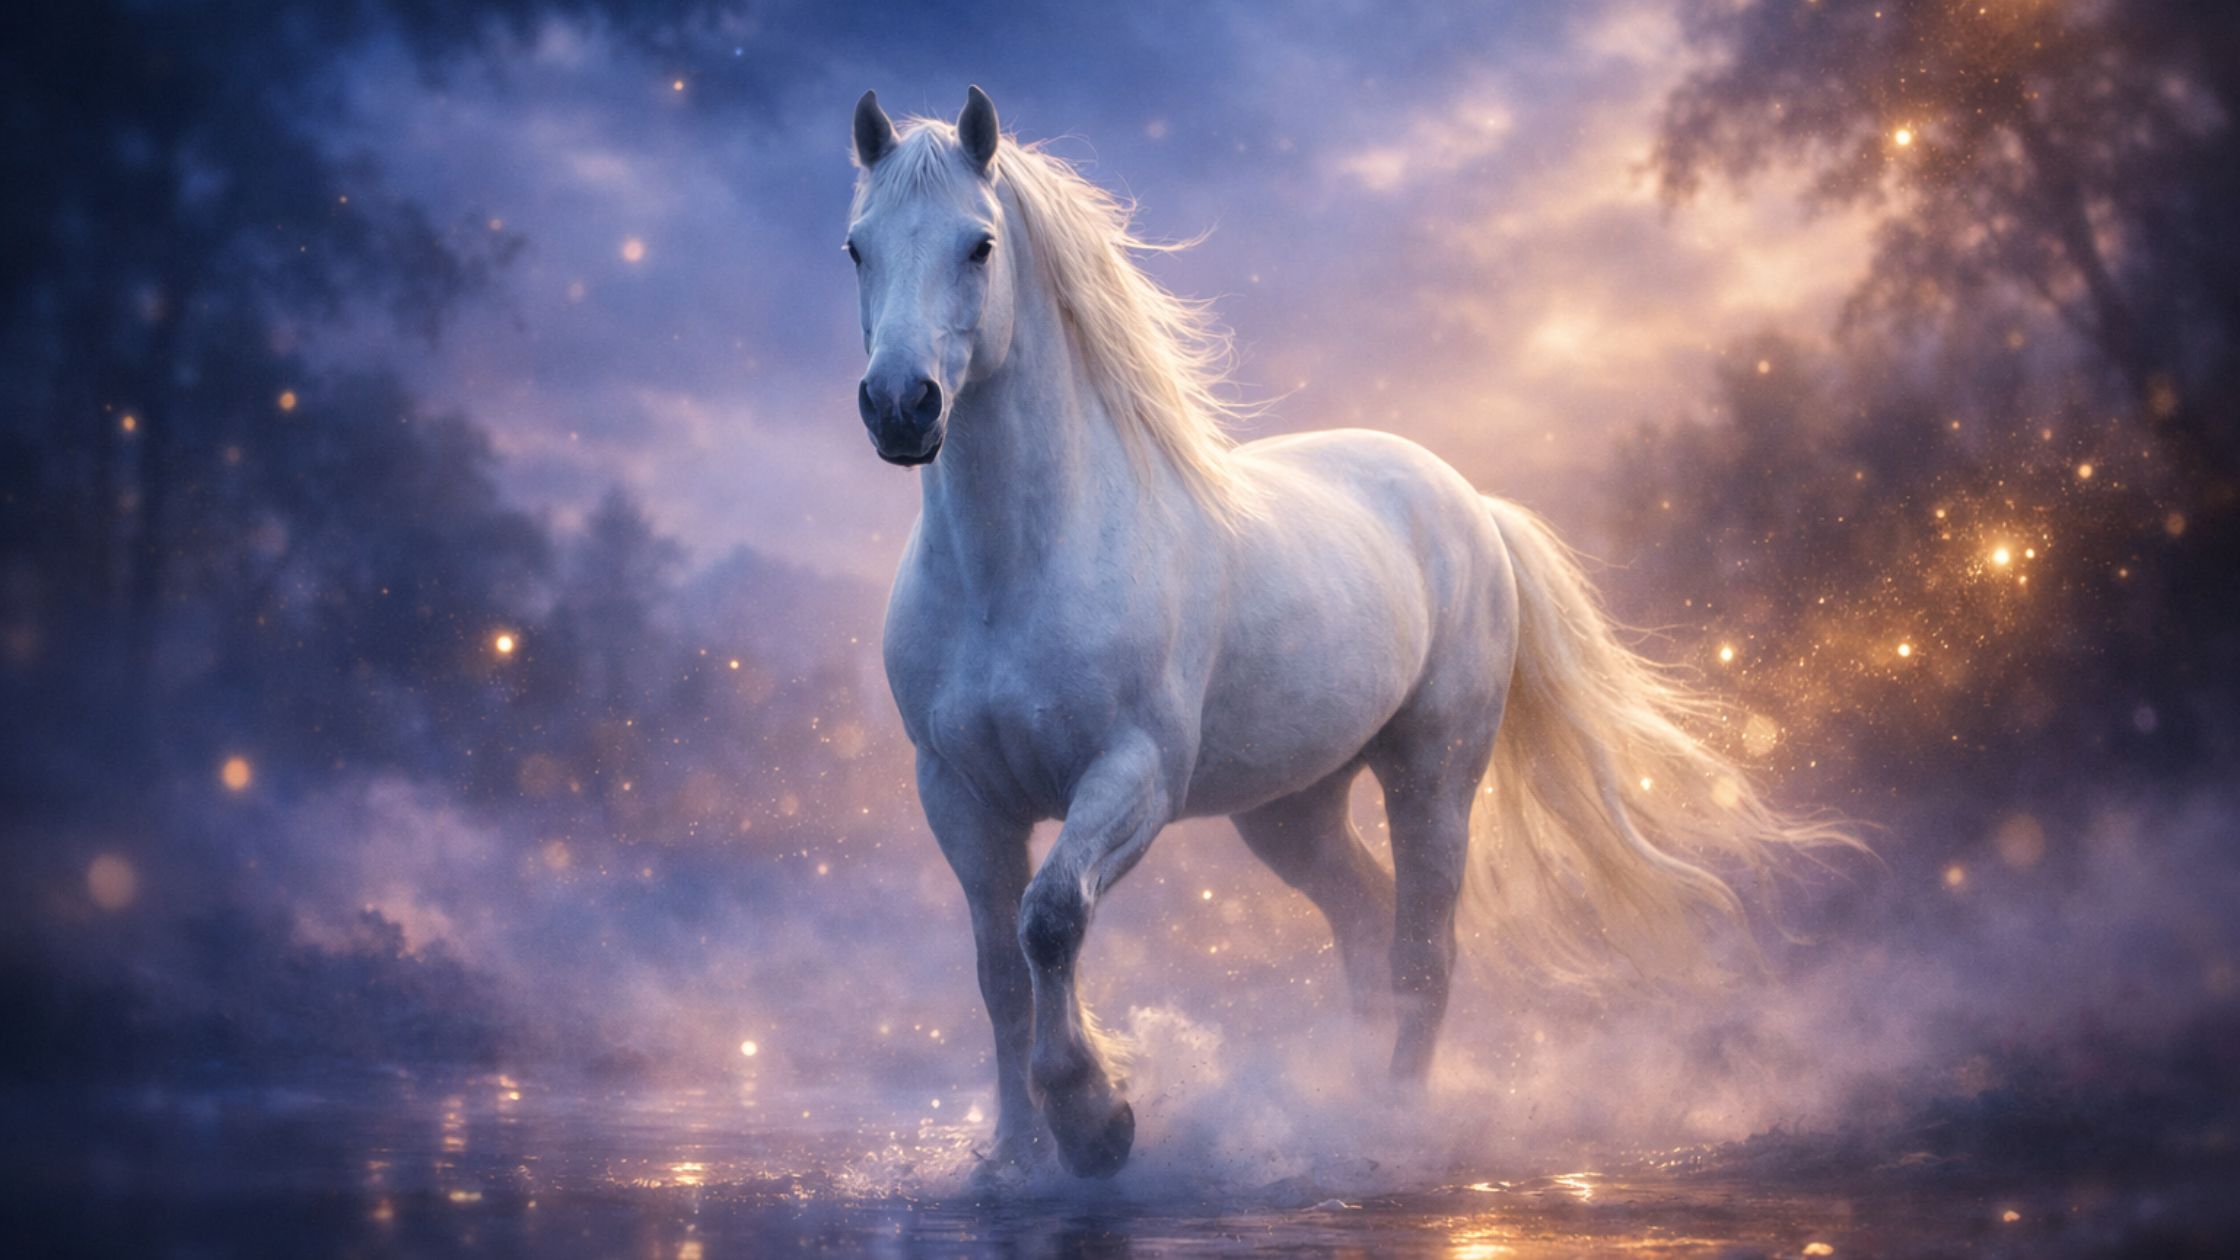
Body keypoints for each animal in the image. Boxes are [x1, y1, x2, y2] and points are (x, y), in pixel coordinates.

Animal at [842, 86, 1849, 1180]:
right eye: (856, 246)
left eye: (979, 246)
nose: (900, 408)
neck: (1017, 570)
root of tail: (1474, 504)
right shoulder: (958, 794)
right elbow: (998, 969)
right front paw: (1020, 1158)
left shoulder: (1133, 775)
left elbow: (1052, 920)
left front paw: (1096, 1124)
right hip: (1293, 810)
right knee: (1365, 925)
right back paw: (1342, 1110)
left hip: (1432, 774)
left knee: (1422, 952)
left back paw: (1390, 1128)